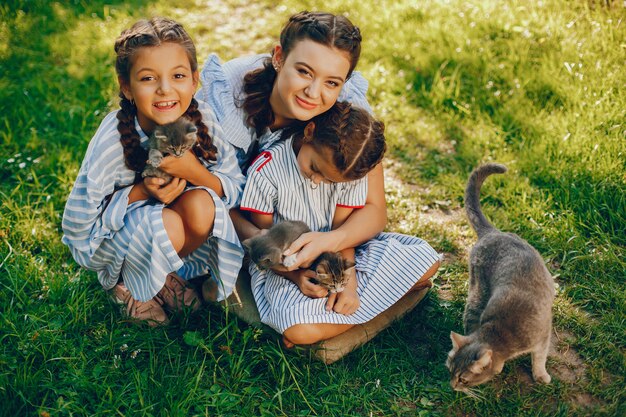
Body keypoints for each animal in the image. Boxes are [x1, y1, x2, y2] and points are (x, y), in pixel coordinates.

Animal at [446, 162, 552, 394]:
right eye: (450, 371)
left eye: (463, 379)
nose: (452, 386)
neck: (502, 330)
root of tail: (492, 232)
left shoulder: (543, 336)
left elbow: (540, 358)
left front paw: (541, 374)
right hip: (477, 293)